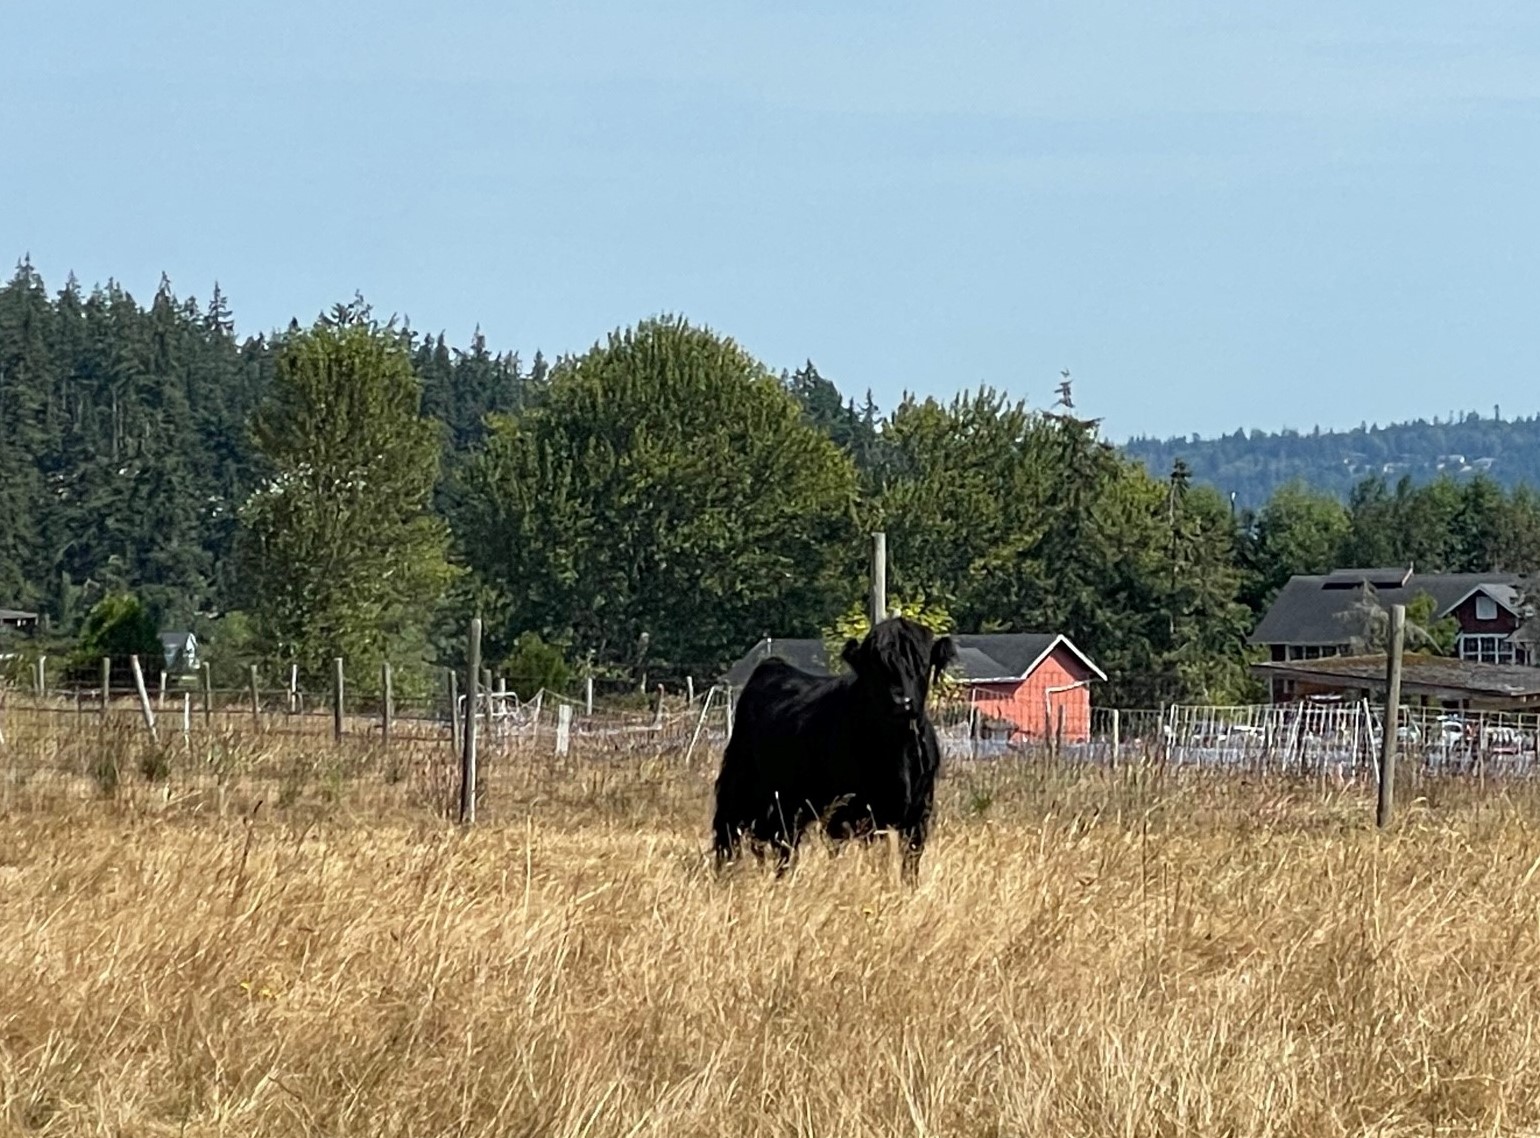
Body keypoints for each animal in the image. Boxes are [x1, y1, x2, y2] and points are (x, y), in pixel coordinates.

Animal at [714, 622, 954, 880]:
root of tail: (773, 665)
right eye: (876, 666)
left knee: (783, 844)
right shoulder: (854, 815)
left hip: (785, 806)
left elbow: (910, 863)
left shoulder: (918, 815)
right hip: (739, 788)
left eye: (921, 663)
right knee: (729, 835)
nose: (902, 702)